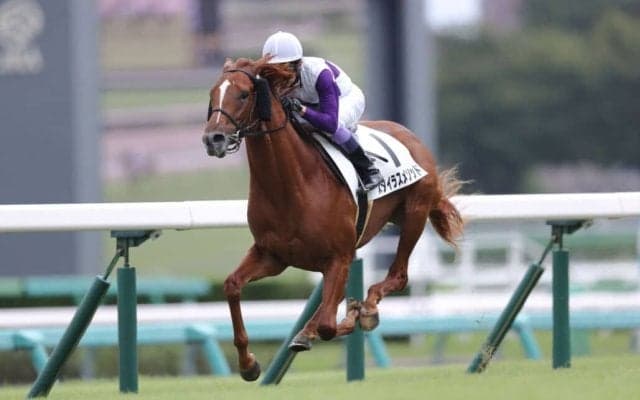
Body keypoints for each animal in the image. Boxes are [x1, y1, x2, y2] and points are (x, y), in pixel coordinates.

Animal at [202, 57, 464, 381]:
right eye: (213, 93)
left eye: (243, 94)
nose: (213, 138)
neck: (291, 185)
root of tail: (410, 136)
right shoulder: (272, 256)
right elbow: (232, 285)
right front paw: (248, 363)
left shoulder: (338, 256)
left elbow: (330, 324)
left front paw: (354, 316)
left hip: (415, 212)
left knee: (398, 276)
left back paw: (366, 308)